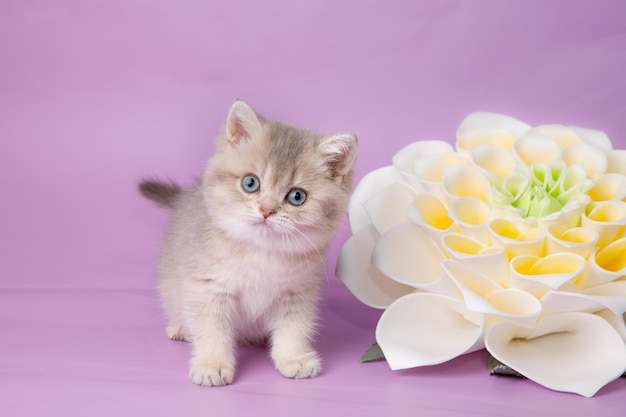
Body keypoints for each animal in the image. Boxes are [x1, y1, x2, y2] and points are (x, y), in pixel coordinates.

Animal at [141, 99, 356, 386]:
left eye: (297, 197)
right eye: (250, 183)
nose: (267, 210)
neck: (261, 252)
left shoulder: (297, 292)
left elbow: (294, 328)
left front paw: (293, 357)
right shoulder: (207, 288)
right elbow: (211, 329)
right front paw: (212, 364)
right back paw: (180, 327)